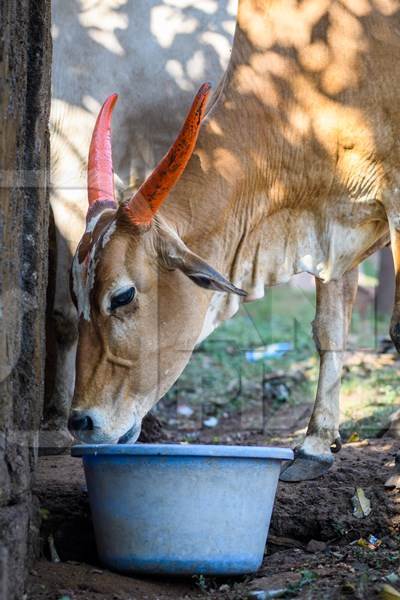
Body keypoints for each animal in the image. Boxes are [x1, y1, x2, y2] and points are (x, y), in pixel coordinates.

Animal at [67, 0, 398, 482]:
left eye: (123, 296)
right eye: (76, 297)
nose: (80, 422)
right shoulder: (332, 226)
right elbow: (329, 330)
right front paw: (315, 445)